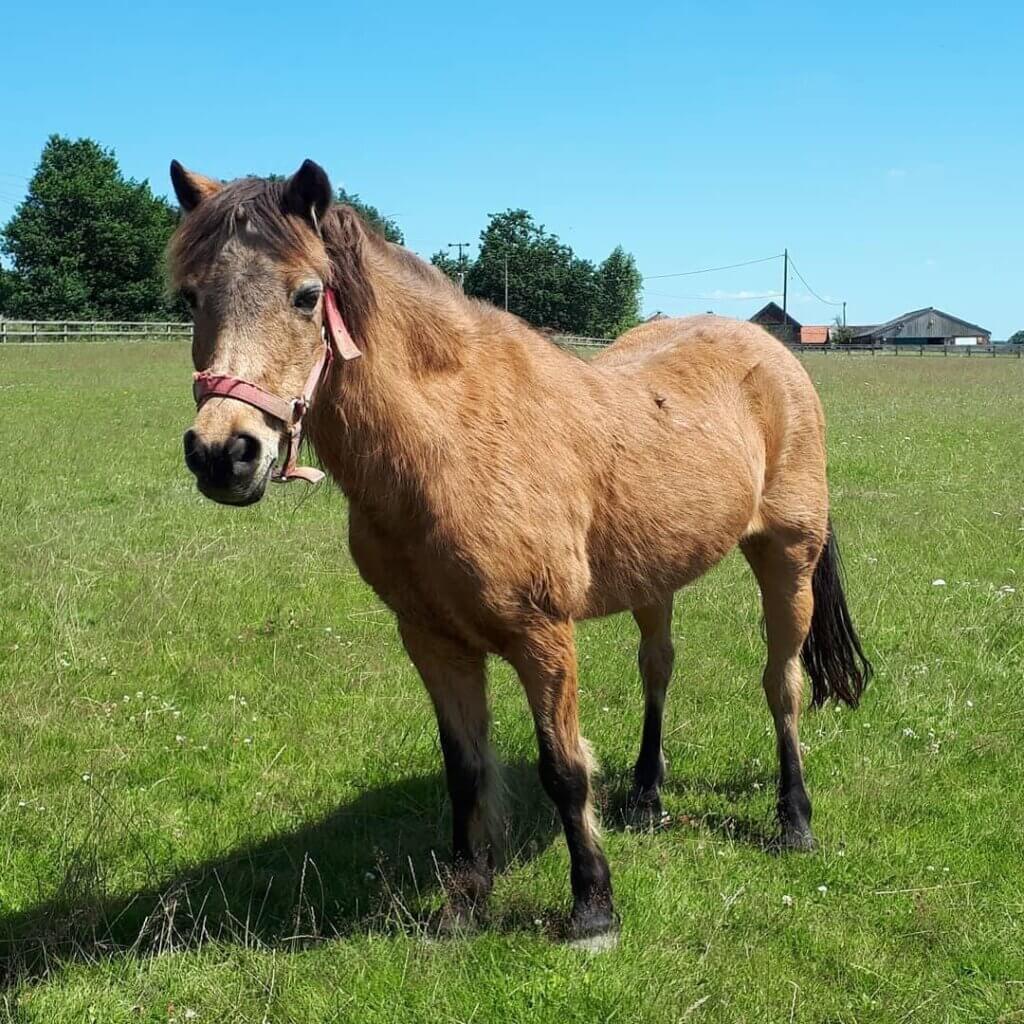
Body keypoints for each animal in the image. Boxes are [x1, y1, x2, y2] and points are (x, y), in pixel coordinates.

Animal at [168, 158, 871, 949]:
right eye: (191, 297)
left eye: (306, 295)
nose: (223, 453)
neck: (452, 443)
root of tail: (777, 355)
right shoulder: (433, 641)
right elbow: (465, 771)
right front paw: (463, 903)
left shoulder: (543, 637)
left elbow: (563, 768)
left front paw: (593, 909)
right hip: (654, 578)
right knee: (658, 669)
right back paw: (647, 797)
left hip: (787, 559)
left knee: (783, 684)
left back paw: (794, 821)